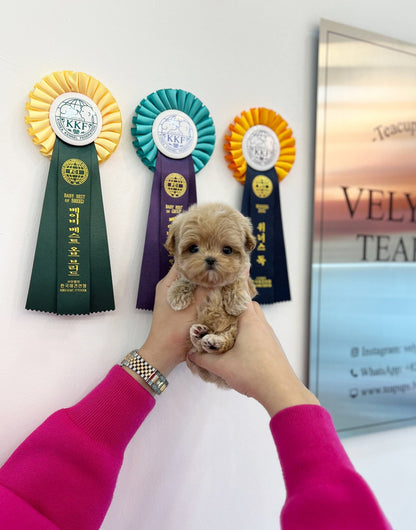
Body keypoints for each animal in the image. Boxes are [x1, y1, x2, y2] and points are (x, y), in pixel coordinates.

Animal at [165, 201, 256, 384]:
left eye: (227, 250)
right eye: (194, 248)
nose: (210, 259)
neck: (211, 283)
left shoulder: (248, 281)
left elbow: (236, 280)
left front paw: (236, 302)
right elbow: (185, 278)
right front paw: (177, 295)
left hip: (234, 329)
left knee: (227, 342)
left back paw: (213, 342)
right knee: (198, 346)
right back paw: (199, 334)